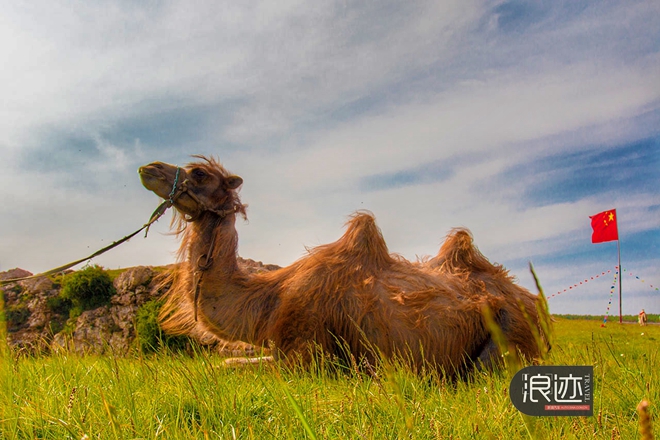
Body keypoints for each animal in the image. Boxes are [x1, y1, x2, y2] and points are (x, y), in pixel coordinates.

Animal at [139, 156, 552, 376]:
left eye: (200, 173)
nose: (149, 168)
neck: (271, 298)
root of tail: (533, 302)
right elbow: (223, 365)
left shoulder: (306, 353)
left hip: (509, 334)